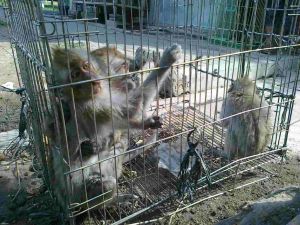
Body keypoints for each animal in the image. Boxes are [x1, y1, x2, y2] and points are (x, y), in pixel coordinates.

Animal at [49, 43, 182, 209]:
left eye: (86, 66)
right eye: (75, 74)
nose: (92, 80)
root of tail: (67, 201)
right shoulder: (94, 106)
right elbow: (132, 108)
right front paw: (166, 60)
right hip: (83, 197)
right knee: (107, 184)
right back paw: (112, 201)